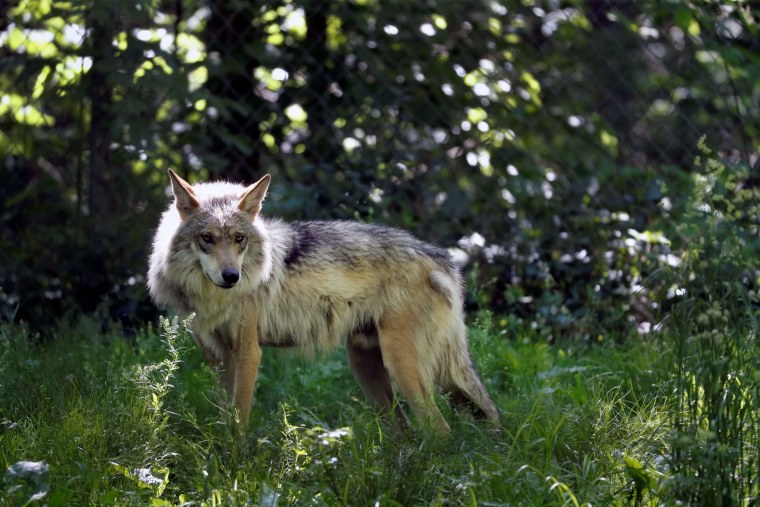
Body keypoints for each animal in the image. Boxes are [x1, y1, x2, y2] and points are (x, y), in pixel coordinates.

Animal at [147, 169, 499, 434]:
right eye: (207, 239)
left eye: (239, 239)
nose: (231, 276)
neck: (213, 299)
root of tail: (439, 256)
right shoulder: (218, 359)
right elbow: (225, 423)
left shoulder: (248, 354)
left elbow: (239, 425)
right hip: (368, 371)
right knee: (408, 433)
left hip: (404, 369)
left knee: (440, 431)